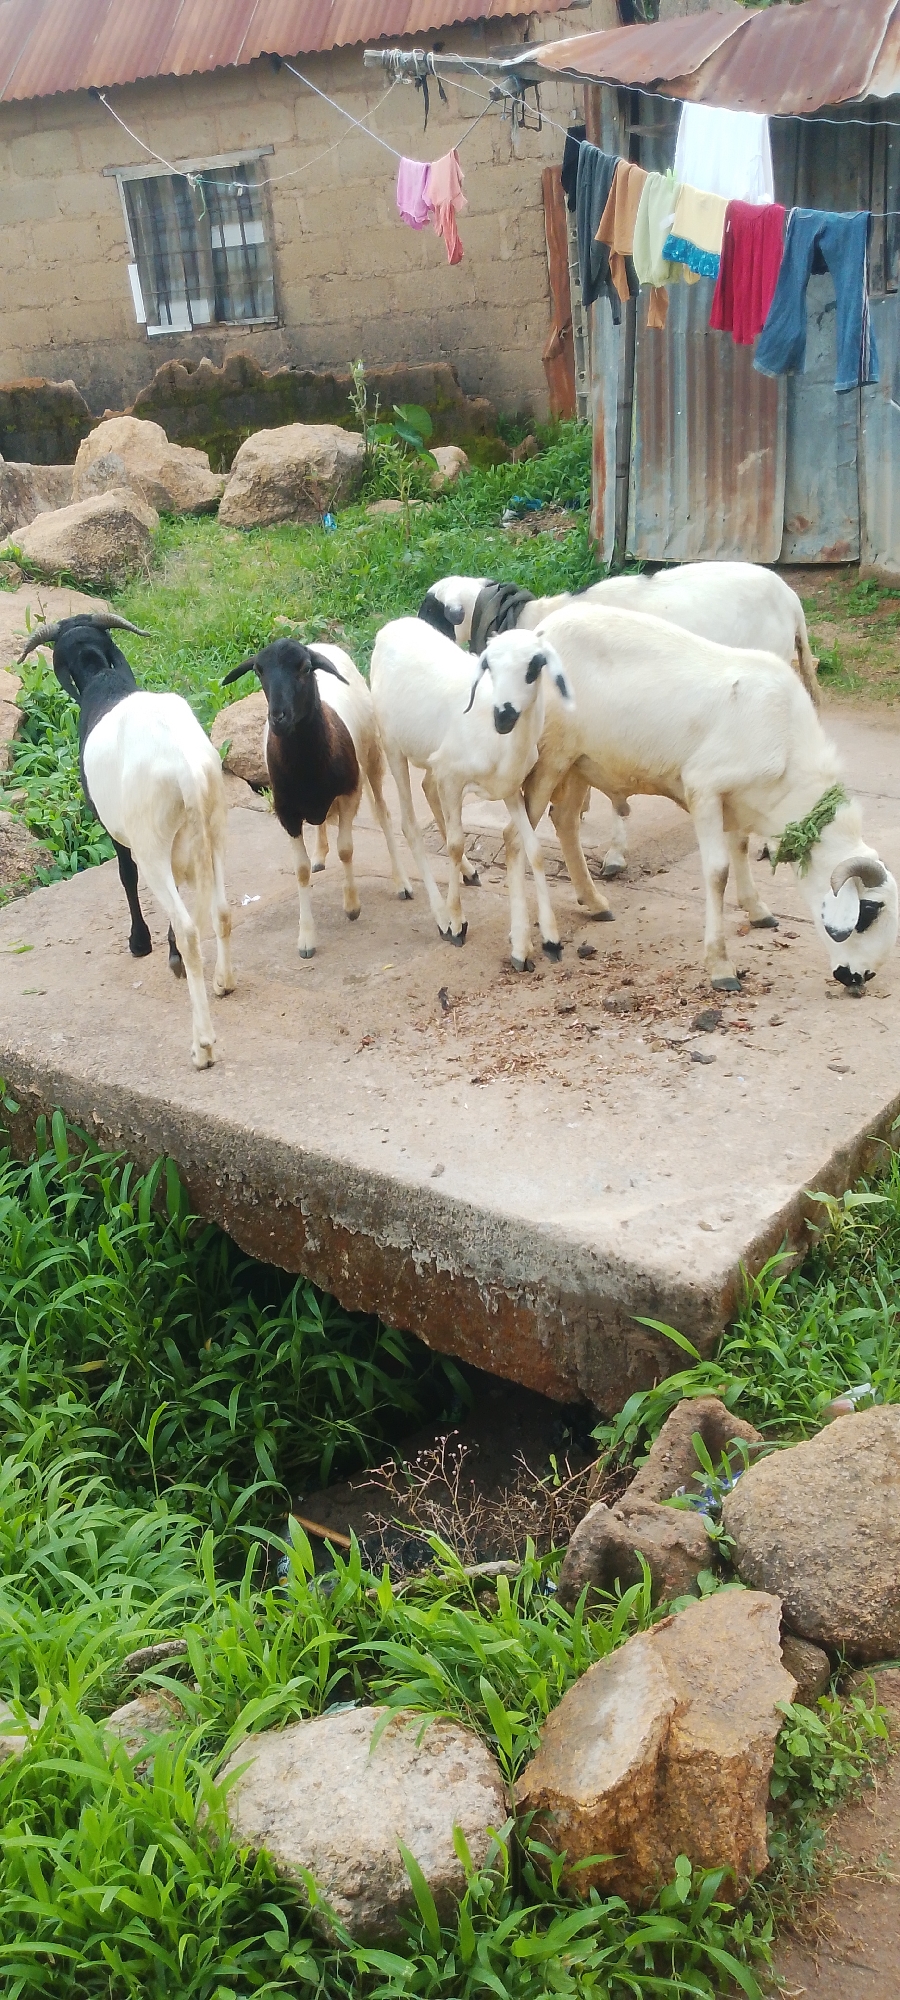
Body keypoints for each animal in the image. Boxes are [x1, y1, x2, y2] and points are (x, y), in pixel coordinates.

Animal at [20, 612, 234, 1068]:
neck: (105, 682)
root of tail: (186, 770)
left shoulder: (115, 828)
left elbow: (124, 875)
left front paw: (140, 943)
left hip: (153, 843)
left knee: (188, 928)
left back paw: (202, 1046)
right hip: (215, 827)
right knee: (222, 910)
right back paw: (224, 982)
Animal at [222, 638, 411, 959]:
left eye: (306, 668)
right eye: (259, 671)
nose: (278, 717)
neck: (306, 763)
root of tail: (320, 643)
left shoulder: (349, 793)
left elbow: (346, 850)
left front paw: (352, 906)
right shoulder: (286, 813)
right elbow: (299, 871)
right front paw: (306, 937)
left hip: (373, 757)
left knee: (383, 816)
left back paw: (402, 883)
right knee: (323, 825)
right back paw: (320, 855)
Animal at [370, 617, 571, 971]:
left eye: (535, 665)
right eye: (489, 665)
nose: (503, 716)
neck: (502, 744)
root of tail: (391, 626)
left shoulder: (510, 788)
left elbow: (533, 849)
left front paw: (549, 939)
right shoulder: (452, 776)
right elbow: (453, 845)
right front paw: (455, 924)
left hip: (432, 761)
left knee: (427, 789)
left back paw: (469, 872)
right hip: (394, 746)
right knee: (409, 824)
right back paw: (439, 914)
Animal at [524, 602, 897, 994]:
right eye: (869, 912)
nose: (860, 977)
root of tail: (542, 630)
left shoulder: (738, 800)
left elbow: (741, 847)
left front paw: (758, 910)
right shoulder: (703, 788)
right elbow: (718, 873)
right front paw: (720, 965)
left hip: (579, 761)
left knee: (564, 820)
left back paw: (594, 902)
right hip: (548, 755)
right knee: (519, 831)